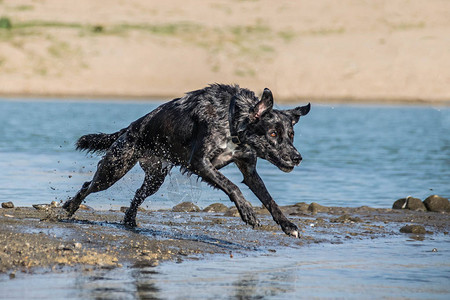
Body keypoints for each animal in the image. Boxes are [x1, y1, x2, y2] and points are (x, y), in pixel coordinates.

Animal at [63, 84, 310, 237]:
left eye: (291, 135)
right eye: (273, 134)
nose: (297, 158)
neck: (232, 120)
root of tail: (129, 129)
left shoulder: (249, 171)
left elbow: (270, 200)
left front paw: (288, 225)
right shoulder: (200, 163)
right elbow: (232, 186)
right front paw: (247, 212)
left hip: (155, 178)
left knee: (138, 195)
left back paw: (130, 221)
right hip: (114, 168)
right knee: (87, 186)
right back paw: (69, 208)